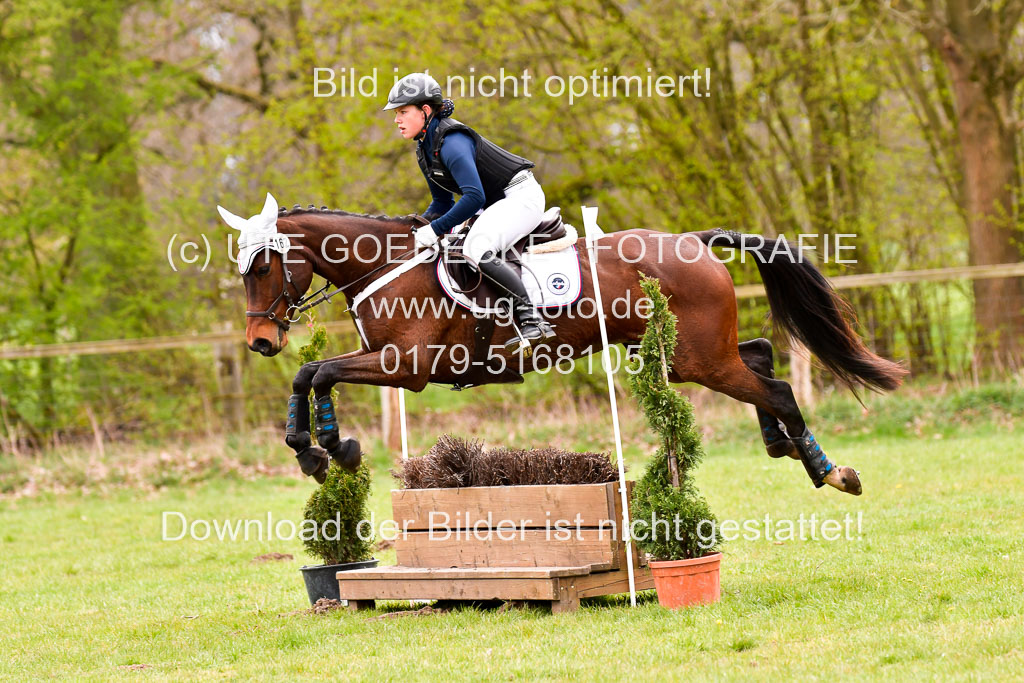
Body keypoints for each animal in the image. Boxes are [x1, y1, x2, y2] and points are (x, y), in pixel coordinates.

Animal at [216, 194, 905, 493]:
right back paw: (780, 445)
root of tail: (695, 241)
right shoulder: (391, 365)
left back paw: (830, 470)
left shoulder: (406, 366)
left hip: (696, 359)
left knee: (777, 386)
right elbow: (311, 376)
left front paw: (330, 448)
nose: (259, 342)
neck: (385, 265)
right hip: (694, 354)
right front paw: (315, 451)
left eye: (263, 266)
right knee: (760, 356)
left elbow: (320, 373)